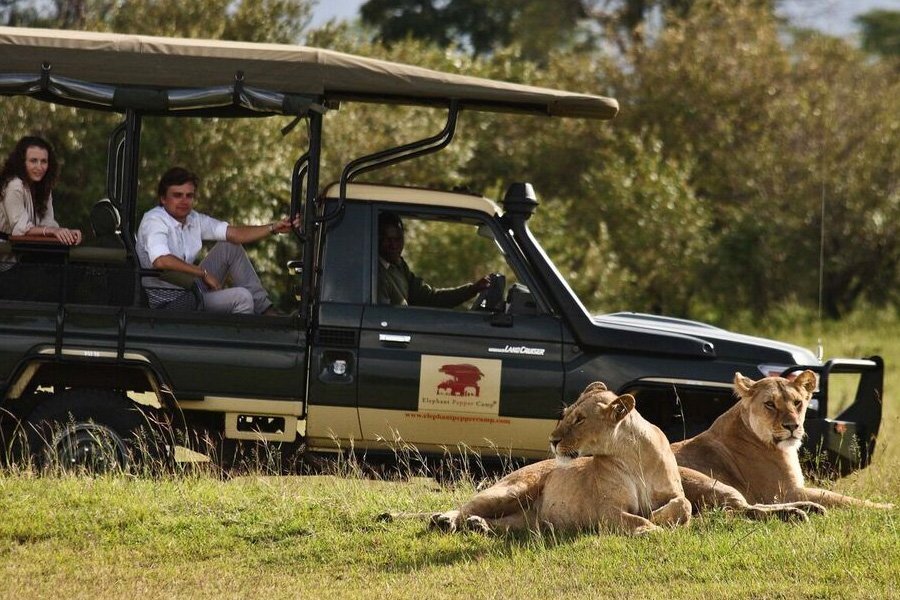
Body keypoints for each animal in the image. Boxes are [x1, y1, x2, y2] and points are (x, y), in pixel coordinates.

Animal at [428, 381, 691, 535]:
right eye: (565, 415)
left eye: (580, 419)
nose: (552, 440)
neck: (631, 456)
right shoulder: (606, 511)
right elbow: (636, 520)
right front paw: (652, 528)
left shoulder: (674, 492)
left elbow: (685, 505)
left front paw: (657, 516)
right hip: (511, 490)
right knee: (465, 507)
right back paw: (445, 520)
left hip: (527, 517)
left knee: (509, 523)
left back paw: (479, 525)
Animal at [672, 370, 893, 520]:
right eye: (770, 404)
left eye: (797, 403)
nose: (792, 426)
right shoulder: (784, 491)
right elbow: (839, 498)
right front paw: (889, 507)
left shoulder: (784, 492)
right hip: (704, 481)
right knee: (738, 509)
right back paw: (796, 514)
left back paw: (809, 508)